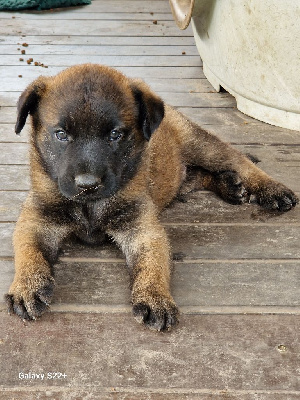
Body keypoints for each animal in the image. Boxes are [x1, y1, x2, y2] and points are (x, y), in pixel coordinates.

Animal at [4, 63, 298, 332]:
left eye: (115, 135)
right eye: (61, 134)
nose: (88, 185)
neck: (90, 207)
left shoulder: (143, 230)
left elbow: (153, 263)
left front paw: (155, 297)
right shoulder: (36, 220)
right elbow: (27, 250)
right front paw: (26, 285)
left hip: (201, 145)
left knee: (237, 160)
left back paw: (271, 188)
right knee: (195, 175)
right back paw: (230, 185)